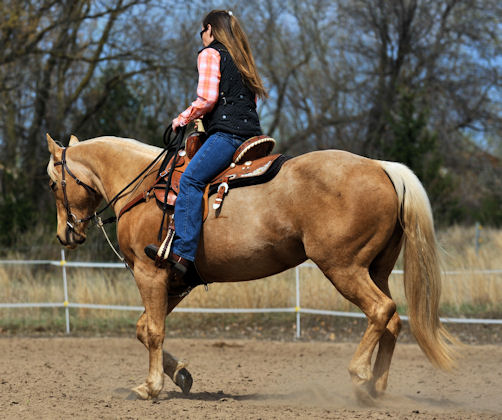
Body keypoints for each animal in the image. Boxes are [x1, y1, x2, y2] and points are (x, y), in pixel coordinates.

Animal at [46, 133, 456, 402]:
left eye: (52, 184)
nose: (65, 234)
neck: (145, 188)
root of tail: (380, 167)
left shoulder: (151, 273)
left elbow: (153, 332)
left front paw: (151, 387)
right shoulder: (174, 281)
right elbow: (143, 327)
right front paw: (180, 375)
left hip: (344, 267)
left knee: (381, 310)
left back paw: (360, 376)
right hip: (376, 270)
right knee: (393, 320)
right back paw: (378, 387)